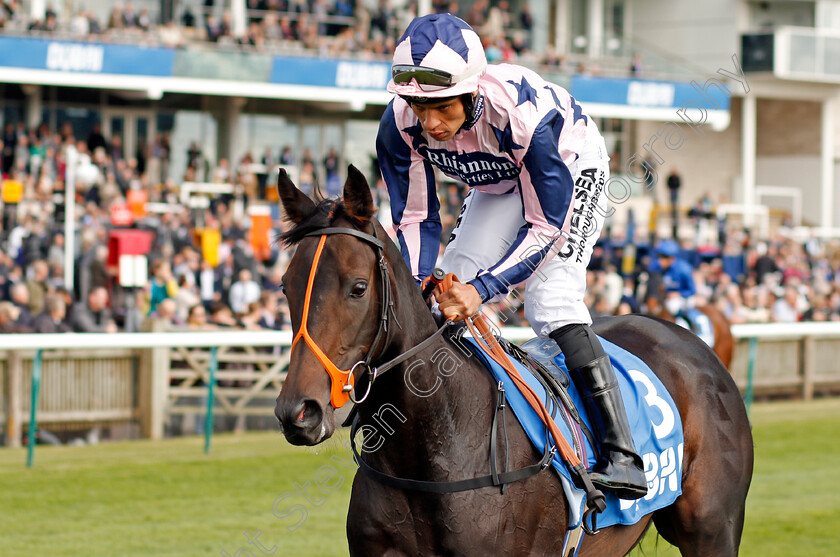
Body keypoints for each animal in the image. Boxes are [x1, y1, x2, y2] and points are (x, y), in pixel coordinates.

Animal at [276, 167, 756, 552]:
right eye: (285, 285)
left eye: (357, 288)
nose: (298, 411)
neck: (435, 444)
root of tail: (691, 341)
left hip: (712, 530)